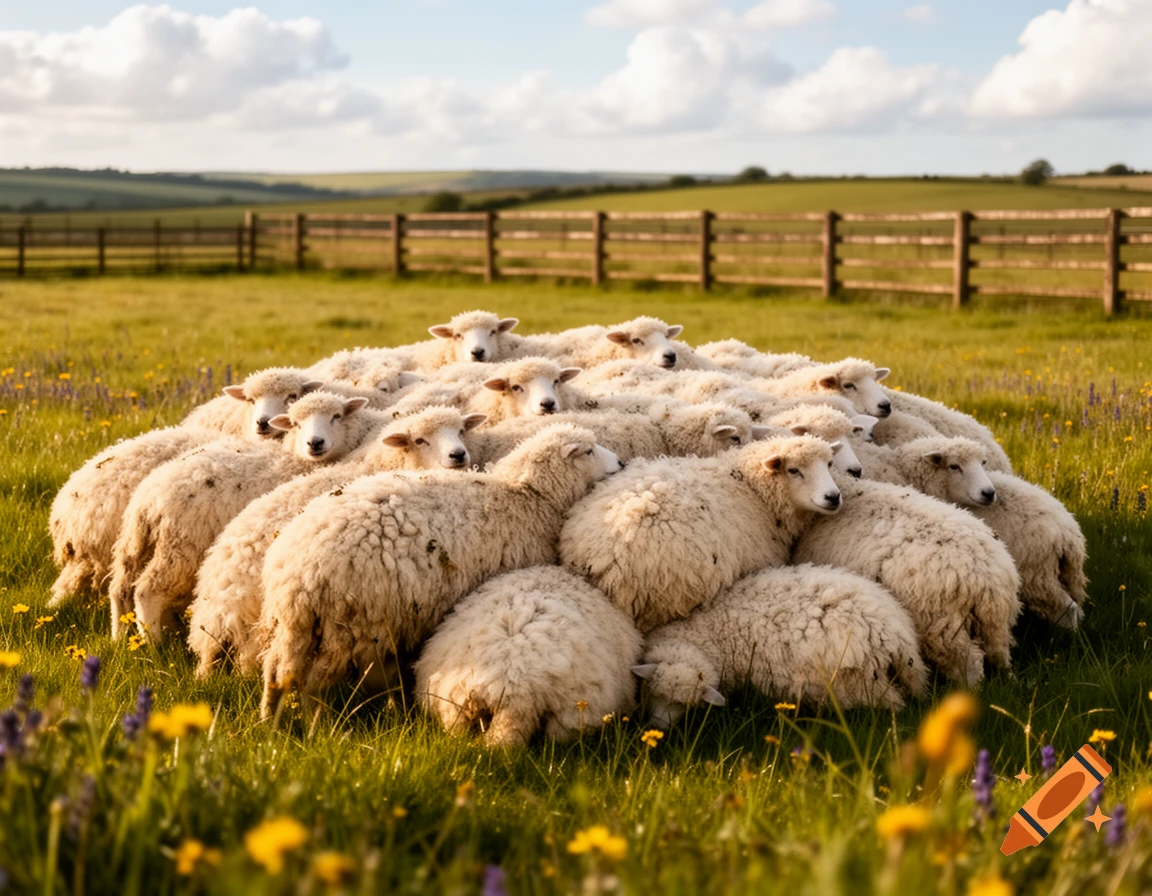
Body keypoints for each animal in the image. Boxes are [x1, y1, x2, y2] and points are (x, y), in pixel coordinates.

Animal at [109, 392, 378, 642]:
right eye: (296, 423)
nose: (315, 443)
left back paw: (120, 637)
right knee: (146, 591)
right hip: (180, 547)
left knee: (120, 588)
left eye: (336, 416)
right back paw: (153, 644)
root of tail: (147, 501)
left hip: (134, 544)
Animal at [259, 423, 624, 718]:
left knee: (276, 674)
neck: (528, 497)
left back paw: (271, 726)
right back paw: (317, 726)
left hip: (297, 629)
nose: (621, 463)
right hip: (348, 627)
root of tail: (295, 573)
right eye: (589, 450)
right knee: (312, 685)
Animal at [634, 564, 928, 727]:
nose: (658, 727)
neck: (701, 634)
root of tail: (894, 636)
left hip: (862, 686)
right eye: (653, 692)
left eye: (684, 706)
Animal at [883, 436, 1087, 629]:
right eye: (954, 466)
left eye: (983, 463)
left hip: (1038, 576)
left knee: (1068, 608)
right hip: (1064, 577)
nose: (989, 493)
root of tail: (1070, 536)